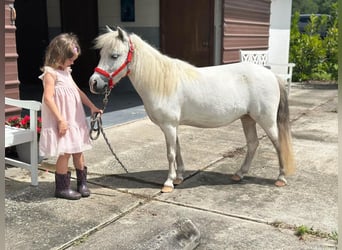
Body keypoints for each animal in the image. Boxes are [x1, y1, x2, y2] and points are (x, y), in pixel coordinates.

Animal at [89, 26, 296, 191]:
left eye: (114, 55)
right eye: (101, 54)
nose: (94, 83)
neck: (161, 81)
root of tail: (272, 75)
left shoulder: (169, 126)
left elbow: (170, 153)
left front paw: (168, 183)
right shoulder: (173, 126)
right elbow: (178, 150)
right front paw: (179, 177)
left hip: (266, 121)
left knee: (278, 144)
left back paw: (281, 178)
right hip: (248, 119)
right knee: (253, 144)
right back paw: (239, 174)